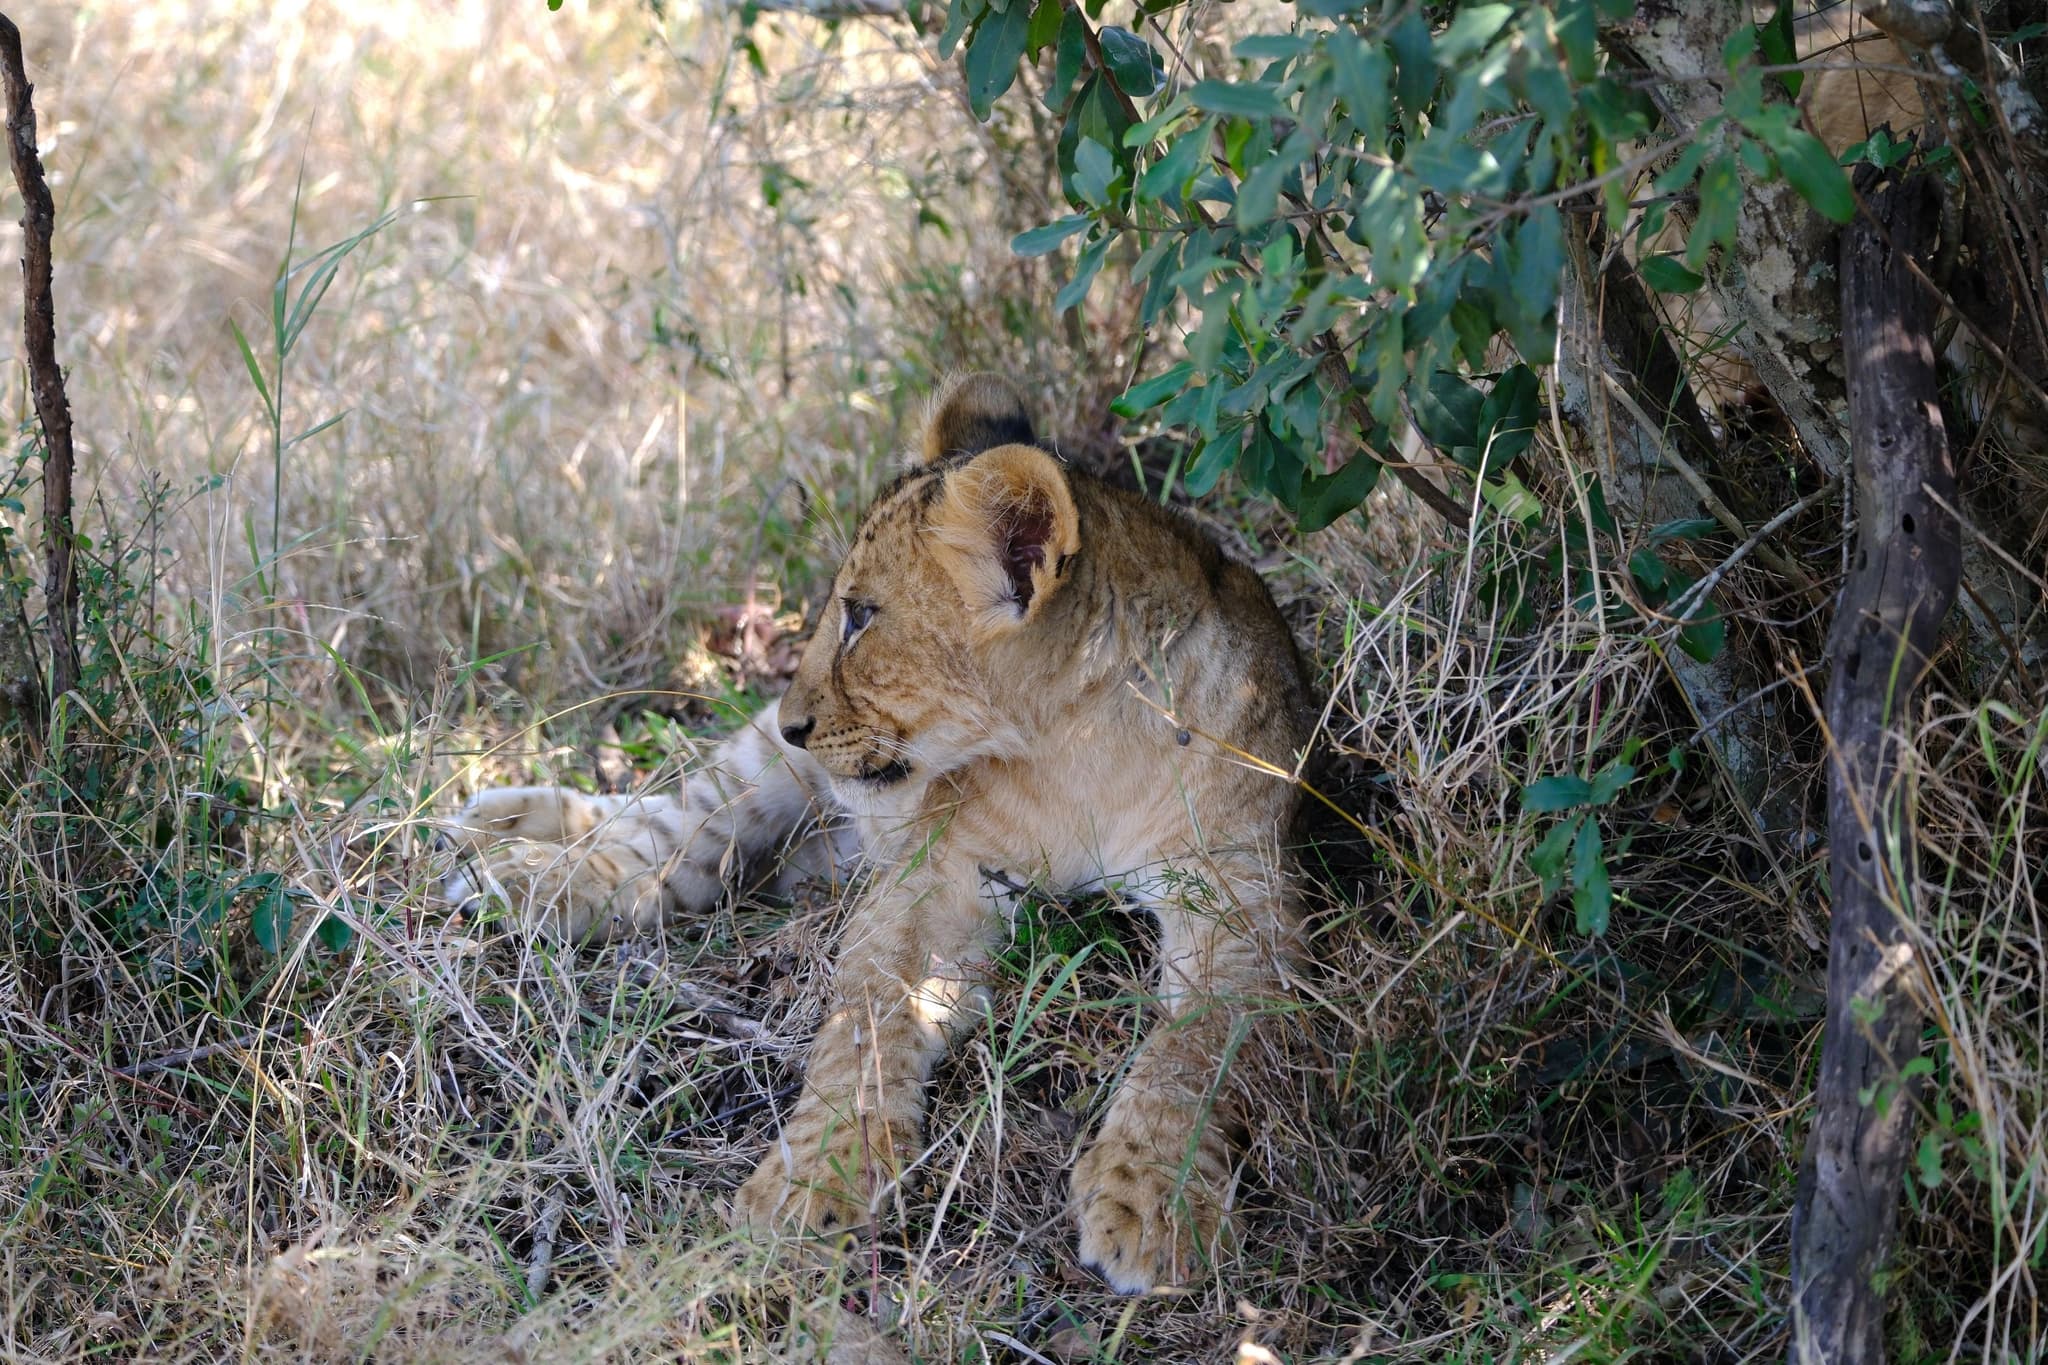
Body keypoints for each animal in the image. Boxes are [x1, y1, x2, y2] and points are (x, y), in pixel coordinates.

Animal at [442, 374, 1314, 1293]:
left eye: (860, 615)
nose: (793, 722)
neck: (1080, 744)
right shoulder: (941, 873)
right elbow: (863, 1029)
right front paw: (816, 1180)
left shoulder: (1242, 901)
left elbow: (1197, 1053)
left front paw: (1151, 1200)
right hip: (754, 779)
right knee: (668, 839)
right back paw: (517, 861)